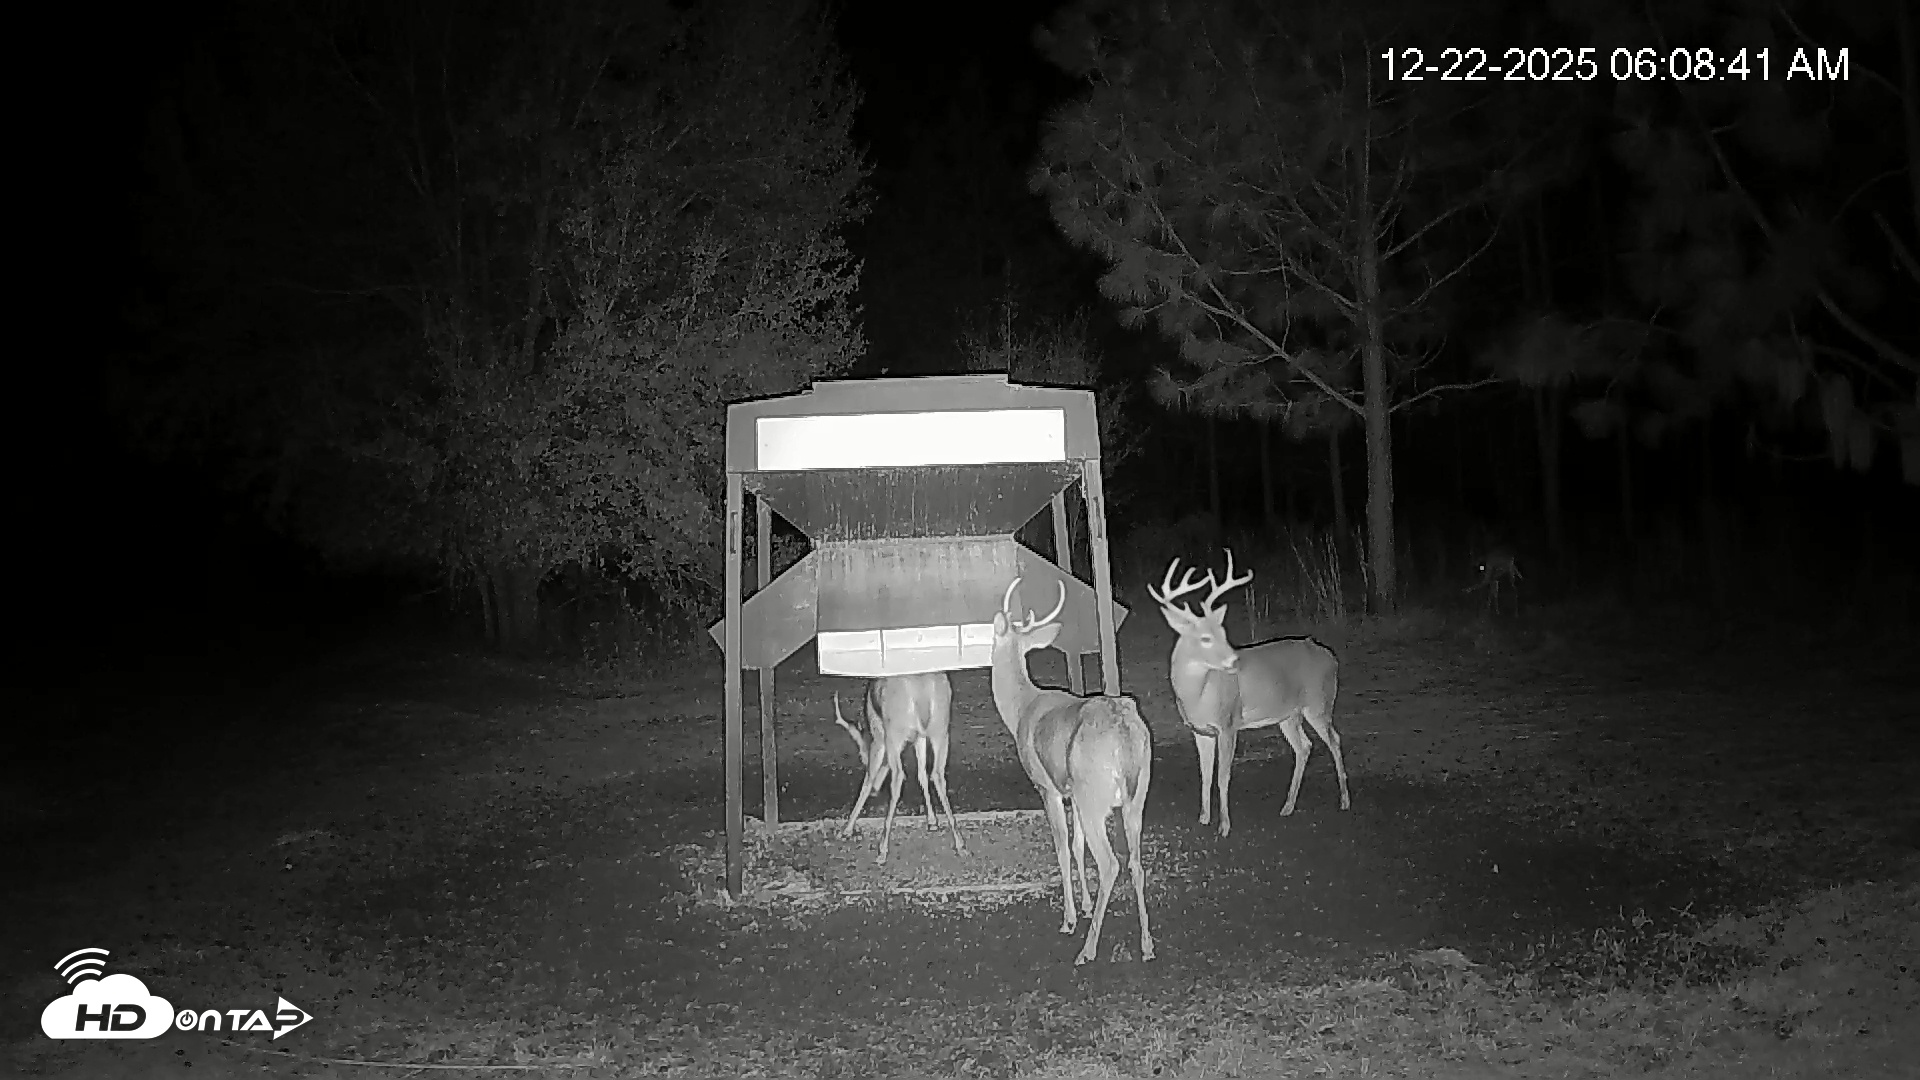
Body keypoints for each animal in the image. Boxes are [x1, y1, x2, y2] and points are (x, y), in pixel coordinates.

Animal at [831, 673, 965, 865]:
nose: (876, 791)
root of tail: (922, 696)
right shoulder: (919, 738)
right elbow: (922, 774)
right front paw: (932, 821)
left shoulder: (878, 735)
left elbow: (868, 778)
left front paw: (846, 830)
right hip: (940, 730)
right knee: (937, 774)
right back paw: (959, 843)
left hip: (893, 735)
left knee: (898, 777)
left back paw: (882, 850)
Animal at [990, 578, 1154, 965]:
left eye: (992, 633)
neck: (1021, 708)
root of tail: (1124, 733)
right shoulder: (1072, 792)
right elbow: (1078, 846)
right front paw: (1085, 905)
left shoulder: (1048, 788)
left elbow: (1063, 848)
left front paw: (1068, 918)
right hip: (1132, 794)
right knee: (1136, 862)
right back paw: (1147, 944)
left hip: (1095, 795)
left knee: (1111, 863)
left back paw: (1088, 949)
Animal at [1148, 551, 1350, 838]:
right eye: (1206, 638)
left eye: (1223, 632)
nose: (1234, 660)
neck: (1198, 695)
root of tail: (1331, 658)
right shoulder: (1199, 730)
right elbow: (1205, 774)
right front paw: (1203, 818)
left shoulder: (1228, 724)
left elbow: (1223, 776)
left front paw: (1224, 826)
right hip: (1288, 715)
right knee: (1304, 746)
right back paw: (1287, 806)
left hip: (1319, 702)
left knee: (1334, 739)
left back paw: (1344, 800)